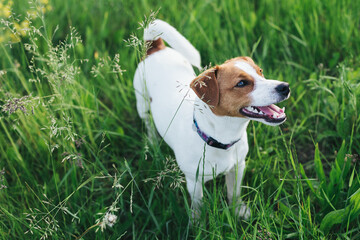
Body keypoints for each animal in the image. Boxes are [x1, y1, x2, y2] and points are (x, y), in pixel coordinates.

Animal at [134, 19, 292, 219]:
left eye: (261, 72)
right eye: (241, 83)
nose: (285, 86)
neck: (221, 137)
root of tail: (156, 48)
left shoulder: (237, 167)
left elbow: (234, 192)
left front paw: (238, 210)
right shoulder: (194, 181)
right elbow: (198, 204)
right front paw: (197, 222)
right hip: (142, 103)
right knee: (148, 123)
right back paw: (153, 142)